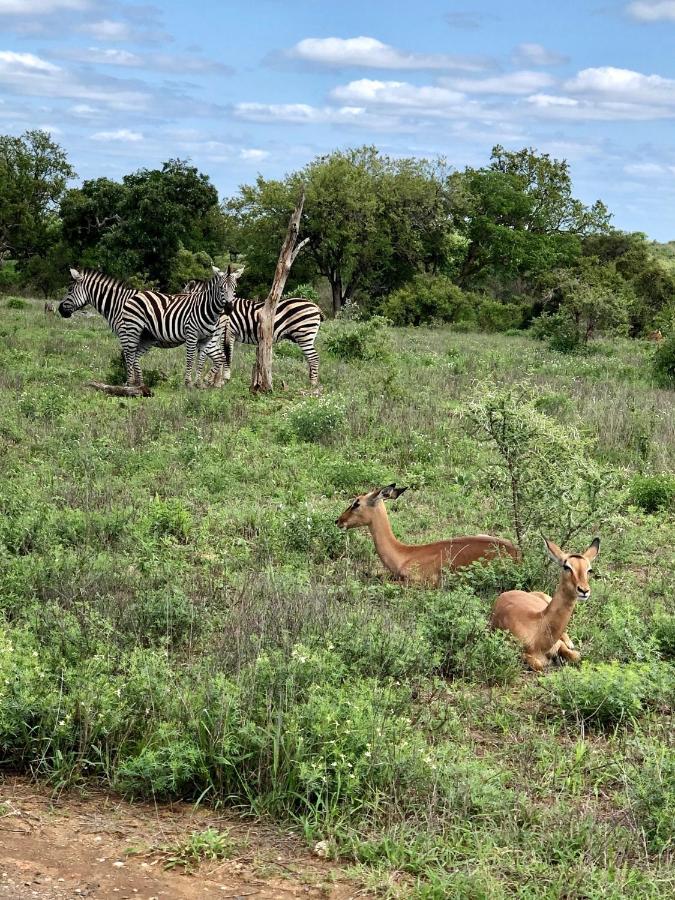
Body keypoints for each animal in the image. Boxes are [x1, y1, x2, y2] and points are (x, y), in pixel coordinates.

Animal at [59, 264, 242, 384]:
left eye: (69, 290)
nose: (60, 310)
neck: (119, 303)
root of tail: (225, 313)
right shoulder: (144, 337)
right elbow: (134, 358)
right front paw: (139, 383)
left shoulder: (125, 333)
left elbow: (128, 356)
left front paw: (130, 383)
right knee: (220, 357)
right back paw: (214, 383)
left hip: (210, 338)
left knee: (220, 357)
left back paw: (212, 383)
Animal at [184, 284, 324, 386]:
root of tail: (315, 306)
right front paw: (215, 380)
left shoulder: (228, 332)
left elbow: (227, 355)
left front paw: (223, 379)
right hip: (307, 336)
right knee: (311, 358)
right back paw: (311, 379)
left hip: (304, 334)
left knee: (314, 357)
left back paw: (312, 383)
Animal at [488, 536, 600, 672]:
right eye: (566, 567)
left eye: (589, 569)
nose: (584, 590)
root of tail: (507, 593)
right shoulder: (523, 654)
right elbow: (539, 665)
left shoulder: (558, 644)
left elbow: (576, 656)